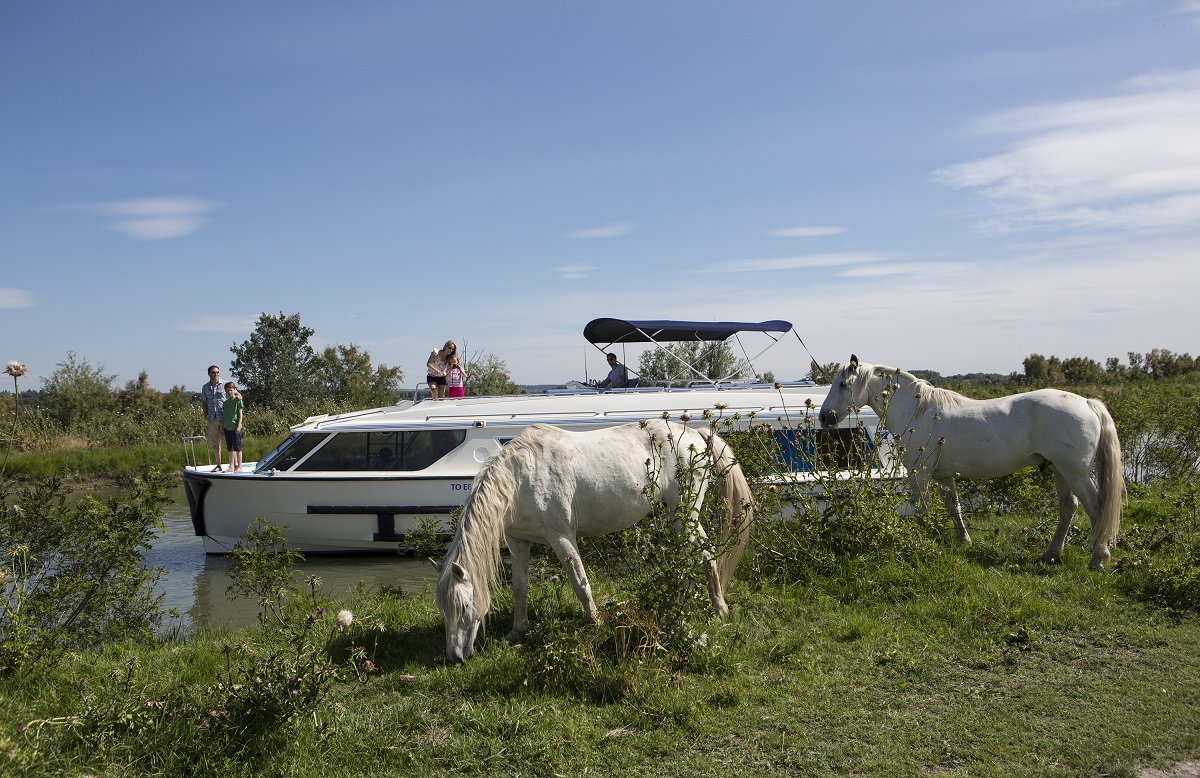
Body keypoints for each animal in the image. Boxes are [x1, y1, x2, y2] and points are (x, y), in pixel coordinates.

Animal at [434, 420, 748, 662]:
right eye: (442, 608)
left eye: (464, 607)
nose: (455, 657)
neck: (521, 478)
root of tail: (696, 434)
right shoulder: (518, 542)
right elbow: (520, 588)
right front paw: (517, 630)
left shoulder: (561, 537)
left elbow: (580, 582)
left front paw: (595, 622)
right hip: (677, 516)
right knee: (690, 555)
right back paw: (681, 604)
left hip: (685, 513)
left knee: (704, 553)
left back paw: (719, 610)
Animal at [820, 355, 1118, 569]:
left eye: (843, 385)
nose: (825, 418)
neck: (918, 411)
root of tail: (1087, 402)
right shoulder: (943, 477)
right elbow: (955, 508)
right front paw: (964, 541)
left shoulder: (919, 473)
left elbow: (923, 510)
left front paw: (923, 542)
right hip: (1060, 469)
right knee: (1069, 507)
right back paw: (1051, 555)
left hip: (1074, 471)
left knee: (1096, 507)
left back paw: (1098, 559)